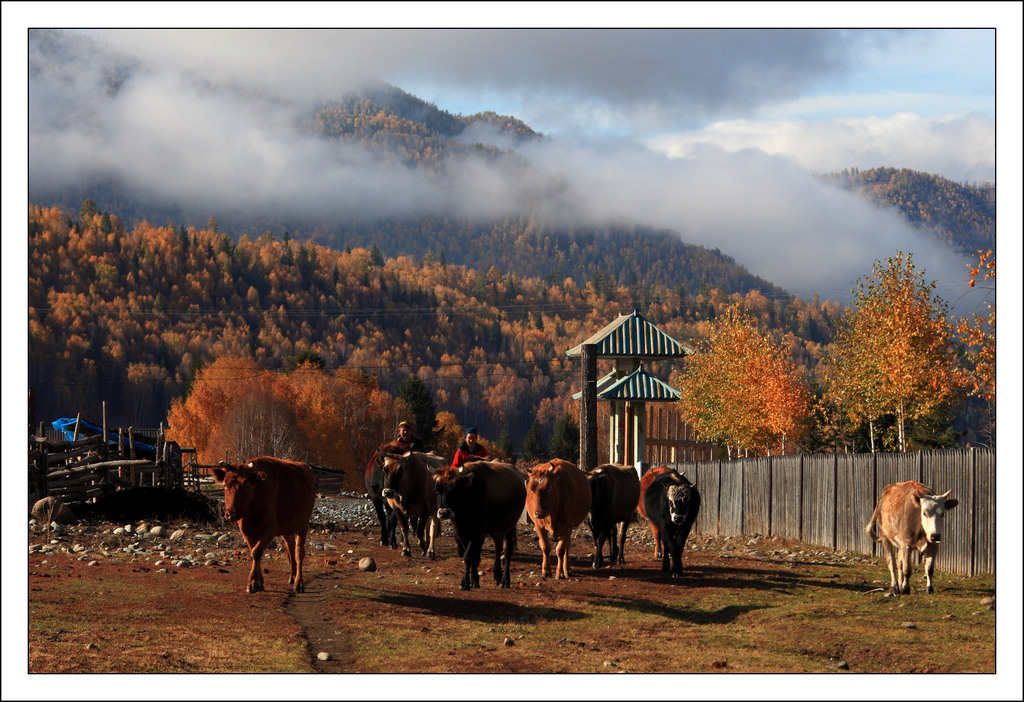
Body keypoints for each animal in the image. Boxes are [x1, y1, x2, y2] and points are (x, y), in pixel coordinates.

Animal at [211, 458, 315, 597]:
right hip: (287, 528)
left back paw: (298, 584)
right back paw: (292, 577)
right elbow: (254, 552)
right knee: (290, 548)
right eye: (225, 485)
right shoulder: (246, 531)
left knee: (299, 552)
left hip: (303, 525)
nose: (230, 514)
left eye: (247, 485)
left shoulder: (270, 530)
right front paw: (259, 583)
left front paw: (252, 584)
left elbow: (256, 552)